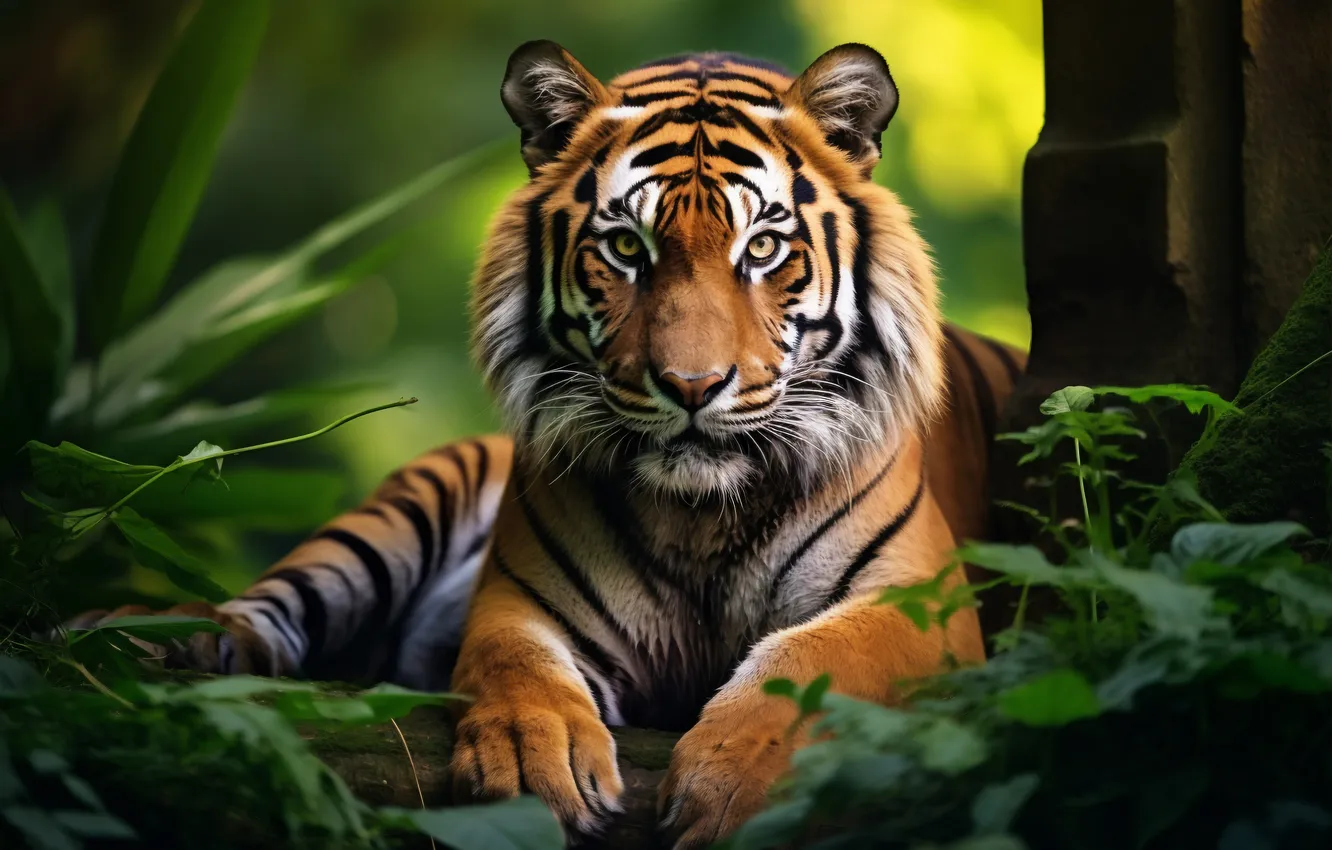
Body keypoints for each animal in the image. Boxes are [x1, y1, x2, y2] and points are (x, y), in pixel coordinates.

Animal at [67, 41, 1027, 848]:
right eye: (626, 246)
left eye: (762, 248)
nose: (690, 387)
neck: (702, 515)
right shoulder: (523, 600)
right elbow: (514, 667)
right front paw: (538, 765)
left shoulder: (921, 604)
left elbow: (815, 660)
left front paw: (730, 780)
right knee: (269, 606)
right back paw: (154, 634)